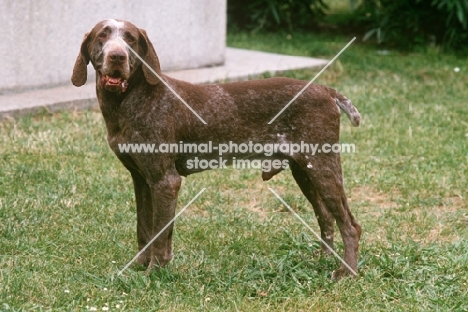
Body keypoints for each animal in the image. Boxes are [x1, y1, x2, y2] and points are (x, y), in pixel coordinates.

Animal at [71, 18, 362, 280]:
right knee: (326, 217)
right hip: (304, 171)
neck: (128, 101)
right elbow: (144, 229)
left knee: (350, 225)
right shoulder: (141, 179)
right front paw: (138, 267)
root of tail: (325, 89)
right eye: (102, 35)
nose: (117, 56)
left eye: (130, 39)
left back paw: (346, 271)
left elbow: (160, 235)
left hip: (323, 167)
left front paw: (154, 272)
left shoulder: (165, 181)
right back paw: (323, 259)